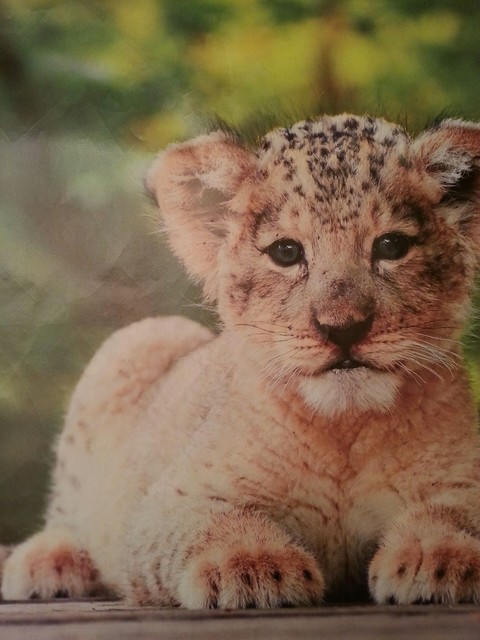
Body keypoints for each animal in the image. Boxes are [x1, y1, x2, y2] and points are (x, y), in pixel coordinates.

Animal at [2, 113, 480, 608]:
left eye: (390, 246)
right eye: (286, 252)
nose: (342, 328)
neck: (344, 429)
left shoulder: (464, 480)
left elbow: (455, 513)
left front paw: (437, 556)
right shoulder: (166, 502)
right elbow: (210, 521)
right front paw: (252, 565)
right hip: (140, 338)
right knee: (66, 510)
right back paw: (47, 565)